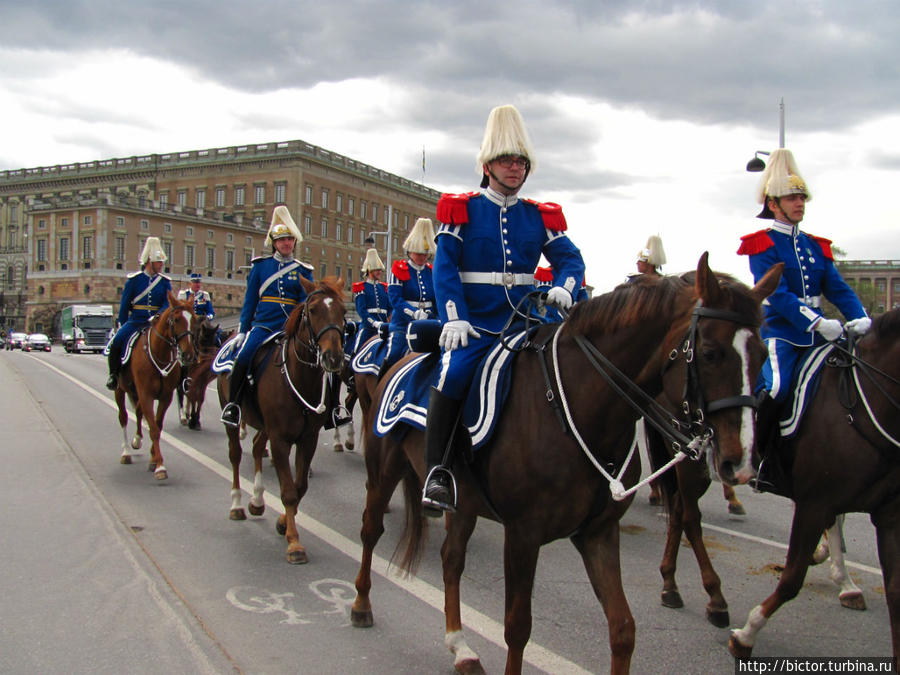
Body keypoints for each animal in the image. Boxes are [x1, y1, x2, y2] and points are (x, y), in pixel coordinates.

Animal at [112, 294, 197, 484]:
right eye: (176, 319)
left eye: (194, 320)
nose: (188, 355)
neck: (160, 353)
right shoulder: (146, 395)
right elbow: (154, 429)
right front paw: (160, 467)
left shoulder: (165, 397)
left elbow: (156, 425)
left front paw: (153, 459)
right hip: (120, 390)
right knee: (123, 417)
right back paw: (126, 452)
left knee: (138, 411)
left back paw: (137, 440)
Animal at [216, 276, 346, 564]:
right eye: (313, 311)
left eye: (343, 312)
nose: (333, 357)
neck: (300, 378)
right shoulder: (279, 440)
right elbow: (287, 490)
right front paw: (294, 542)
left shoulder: (307, 439)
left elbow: (300, 487)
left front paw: (283, 523)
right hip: (232, 417)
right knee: (235, 455)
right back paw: (236, 504)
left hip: (263, 426)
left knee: (255, 448)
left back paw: (256, 500)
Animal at [350, 255, 780, 675]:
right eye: (710, 353)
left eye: (762, 355)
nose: (741, 461)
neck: (574, 404)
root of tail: (402, 358)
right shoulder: (522, 535)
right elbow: (517, 629)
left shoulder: (598, 533)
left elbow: (623, 629)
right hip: (383, 473)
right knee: (371, 530)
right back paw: (361, 605)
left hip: (465, 503)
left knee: (451, 559)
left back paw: (460, 647)